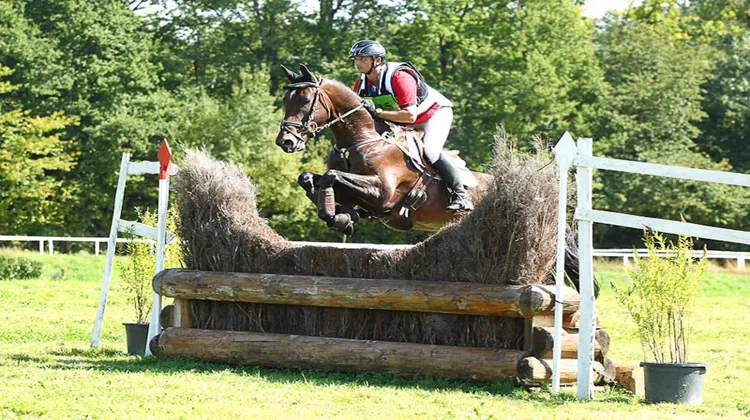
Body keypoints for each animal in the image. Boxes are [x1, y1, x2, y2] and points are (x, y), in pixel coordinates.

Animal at [276, 64, 494, 235]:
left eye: (305, 100)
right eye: (286, 99)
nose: (285, 142)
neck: (362, 140)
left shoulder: (383, 192)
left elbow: (331, 175)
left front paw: (335, 215)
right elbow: (307, 177)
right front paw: (343, 217)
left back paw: (460, 200)